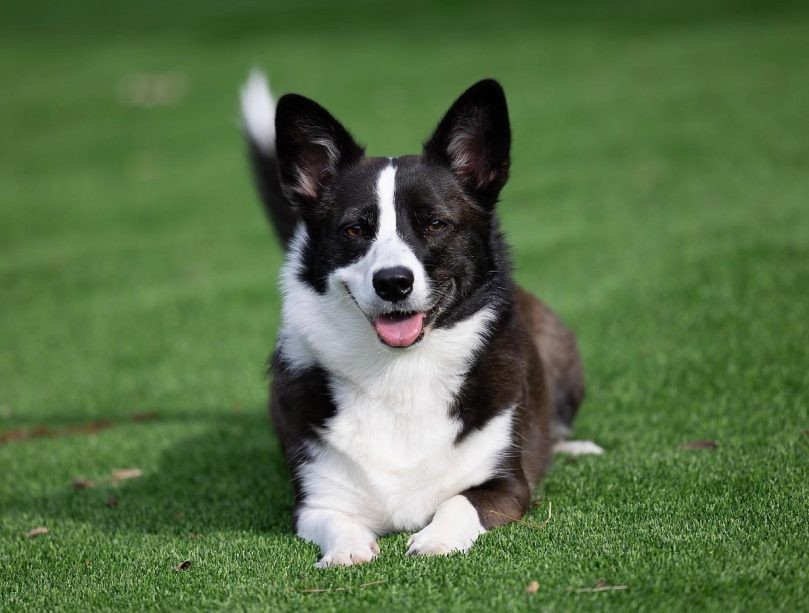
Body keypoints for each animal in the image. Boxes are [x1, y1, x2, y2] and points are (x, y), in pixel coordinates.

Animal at [237, 69, 596, 568]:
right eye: (355, 229)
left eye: (434, 223)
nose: (393, 283)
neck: (400, 370)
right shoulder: (314, 503)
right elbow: (337, 522)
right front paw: (348, 552)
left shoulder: (507, 486)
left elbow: (457, 501)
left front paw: (435, 540)